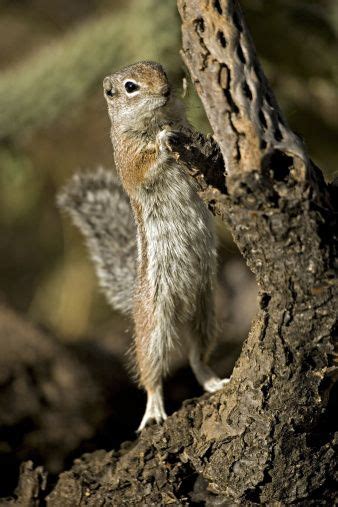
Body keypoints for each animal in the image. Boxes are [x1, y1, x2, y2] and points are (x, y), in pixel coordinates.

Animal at [60, 59, 230, 432]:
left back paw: (212, 381)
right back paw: (153, 410)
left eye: (161, 70)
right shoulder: (128, 160)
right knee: (151, 372)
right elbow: (145, 165)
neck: (155, 120)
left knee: (196, 357)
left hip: (206, 312)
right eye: (130, 87)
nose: (166, 90)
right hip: (154, 325)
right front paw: (164, 142)